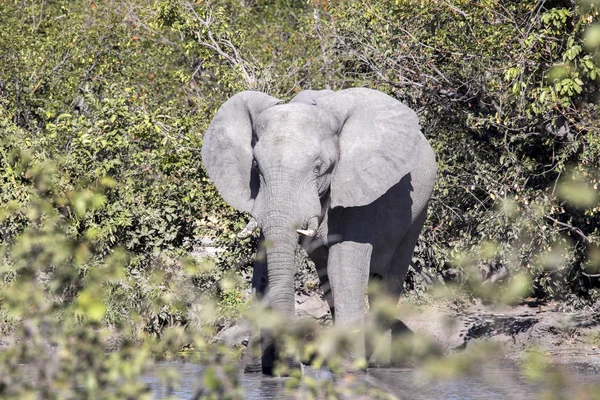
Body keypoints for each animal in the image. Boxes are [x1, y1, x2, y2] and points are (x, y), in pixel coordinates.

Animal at [202, 87, 436, 376]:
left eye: (318, 167)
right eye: (255, 166)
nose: (294, 367)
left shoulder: (360, 187)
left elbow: (343, 267)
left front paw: (350, 369)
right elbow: (263, 271)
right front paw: (257, 370)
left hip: (418, 211)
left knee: (388, 278)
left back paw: (377, 364)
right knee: (329, 276)